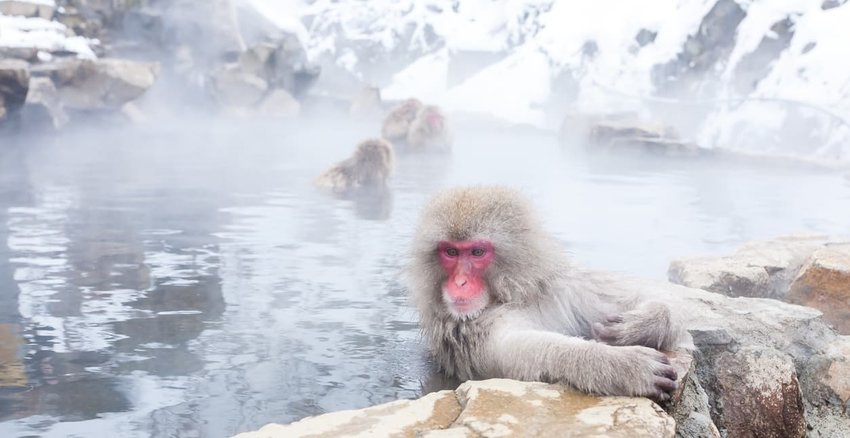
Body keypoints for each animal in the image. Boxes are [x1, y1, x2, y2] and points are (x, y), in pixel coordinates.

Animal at [408, 186, 684, 402]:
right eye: (450, 252)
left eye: (476, 252)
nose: (460, 282)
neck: (516, 295)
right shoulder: (469, 331)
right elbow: (522, 352)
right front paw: (622, 366)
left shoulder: (562, 287)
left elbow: (634, 294)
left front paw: (641, 324)